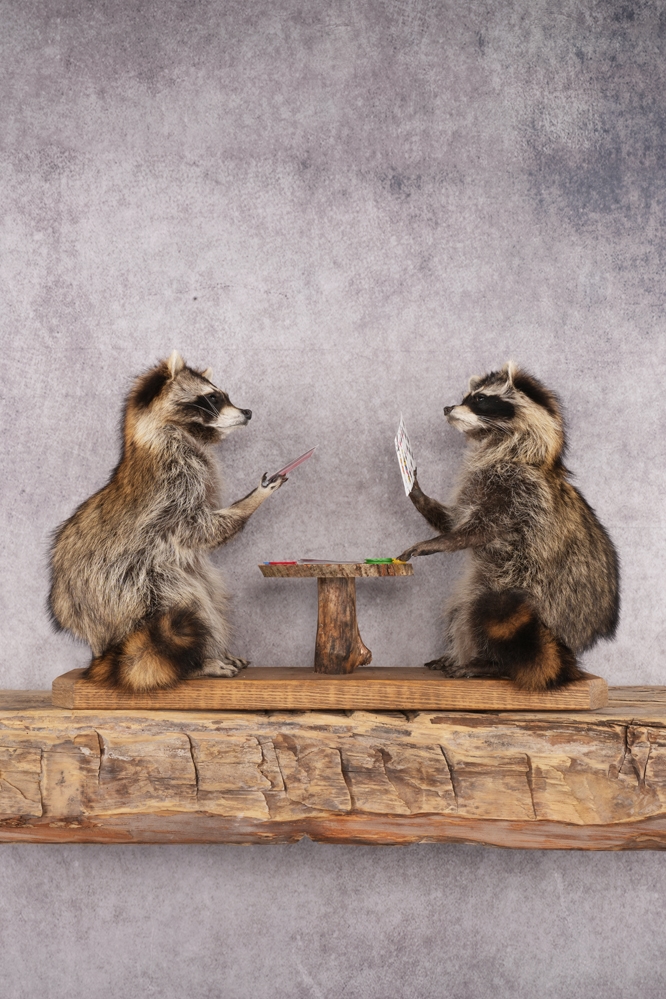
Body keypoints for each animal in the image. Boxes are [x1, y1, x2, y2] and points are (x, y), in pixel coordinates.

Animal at [49, 350, 286, 692]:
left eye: (224, 396)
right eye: (212, 397)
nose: (247, 412)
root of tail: (97, 641)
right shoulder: (174, 484)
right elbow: (198, 529)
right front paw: (252, 500)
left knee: (209, 593)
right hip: (131, 587)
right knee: (190, 604)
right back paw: (201, 662)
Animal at [396, 363, 619, 690]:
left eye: (480, 400)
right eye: (465, 398)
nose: (448, 407)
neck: (500, 442)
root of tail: (567, 649)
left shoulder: (522, 492)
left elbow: (477, 531)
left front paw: (441, 542)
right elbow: (453, 519)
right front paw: (417, 493)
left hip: (518, 593)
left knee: (483, 611)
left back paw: (492, 664)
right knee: (460, 610)